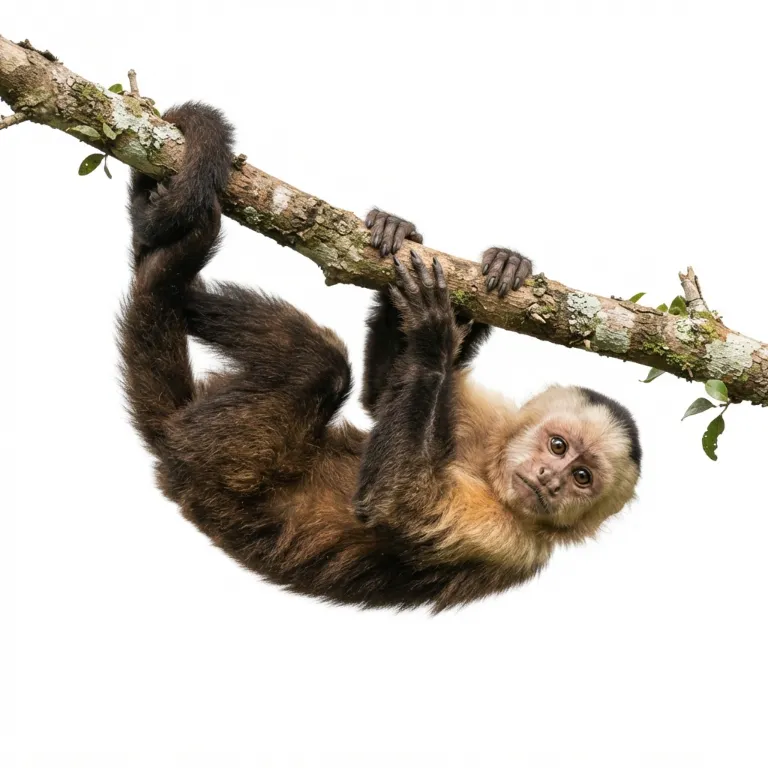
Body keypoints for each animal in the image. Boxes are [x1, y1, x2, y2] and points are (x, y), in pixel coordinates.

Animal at [118, 101, 642, 612]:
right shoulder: (486, 421)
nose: (551, 481)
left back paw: (165, 277)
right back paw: (167, 272)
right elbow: (384, 392)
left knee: (318, 362)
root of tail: (170, 447)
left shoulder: (508, 543)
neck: (492, 476)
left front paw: (434, 336)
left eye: (582, 477)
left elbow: (389, 505)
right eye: (557, 446)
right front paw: (476, 269)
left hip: (226, 457)